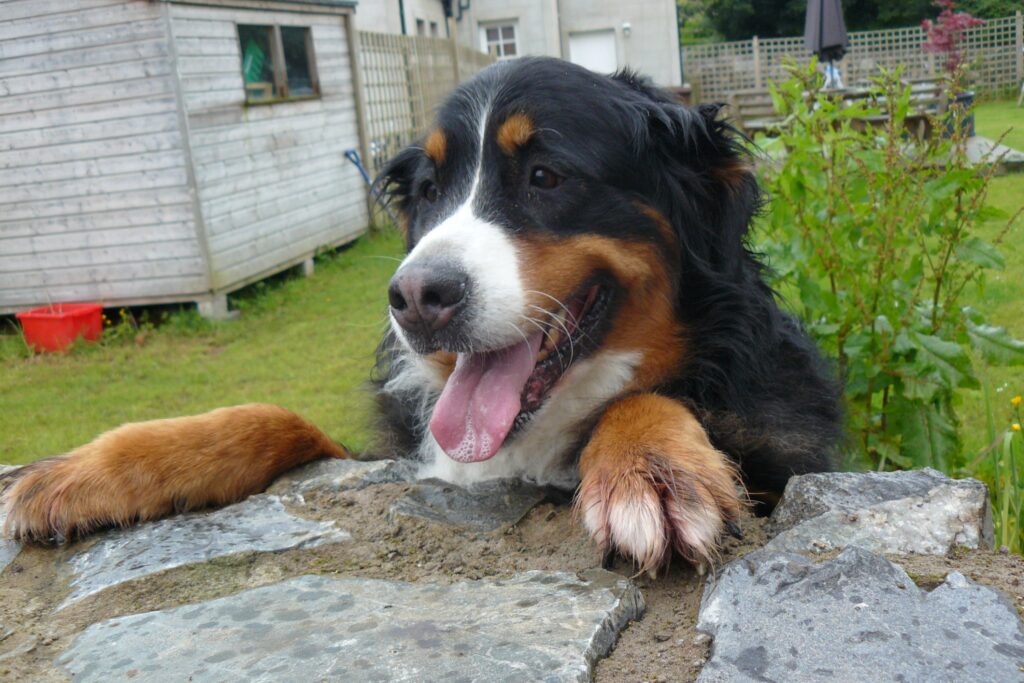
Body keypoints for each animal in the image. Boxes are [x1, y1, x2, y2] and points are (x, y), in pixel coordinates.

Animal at [2, 57, 839, 573]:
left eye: (546, 175)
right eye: (432, 190)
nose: (413, 297)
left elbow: (638, 398)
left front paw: (652, 470)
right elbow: (274, 417)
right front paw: (89, 468)